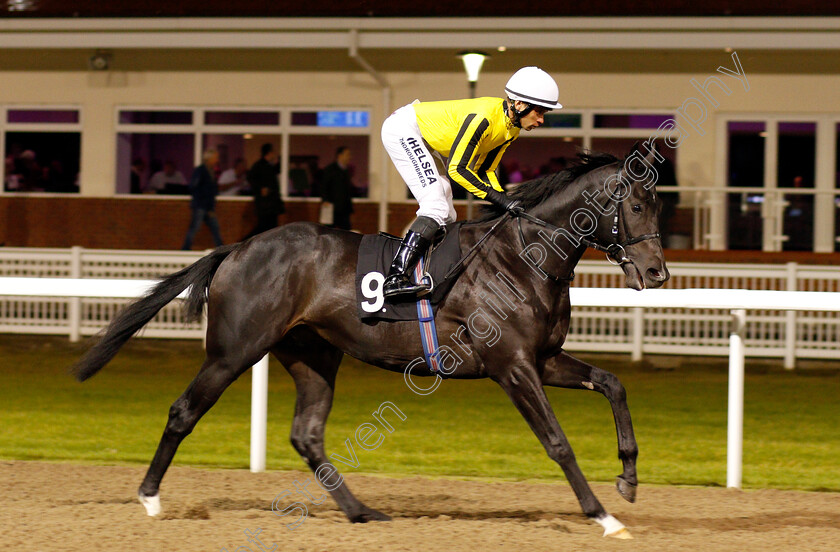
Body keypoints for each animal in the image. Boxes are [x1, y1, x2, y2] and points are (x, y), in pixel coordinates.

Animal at [72, 144, 668, 536]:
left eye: (657, 204)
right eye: (636, 206)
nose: (657, 272)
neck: (525, 257)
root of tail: (238, 248)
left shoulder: (542, 359)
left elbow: (612, 383)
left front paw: (629, 479)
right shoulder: (512, 366)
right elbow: (558, 441)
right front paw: (603, 516)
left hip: (313, 354)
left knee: (307, 434)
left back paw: (361, 512)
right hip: (235, 350)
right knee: (183, 411)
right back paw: (150, 500)